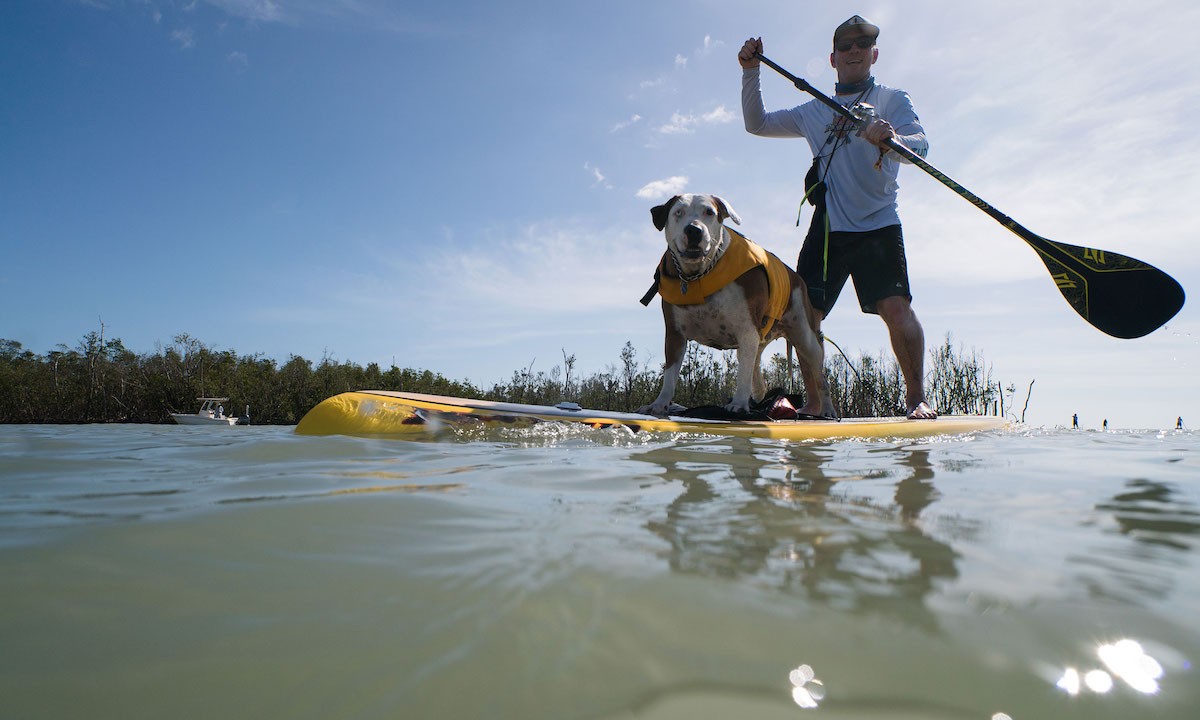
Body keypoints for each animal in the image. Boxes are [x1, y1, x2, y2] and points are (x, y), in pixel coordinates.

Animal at [638, 194, 835, 420]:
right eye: (678, 212)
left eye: (709, 212)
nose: (694, 230)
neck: (700, 275)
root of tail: (796, 277)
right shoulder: (674, 335)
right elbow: (670, 374)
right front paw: (659, 404)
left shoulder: (746, 331)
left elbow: (742, 374)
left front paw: (739, 404)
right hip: (761, 341)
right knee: (756, 371)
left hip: (806, 338)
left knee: (819, 377)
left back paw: (826, 410)